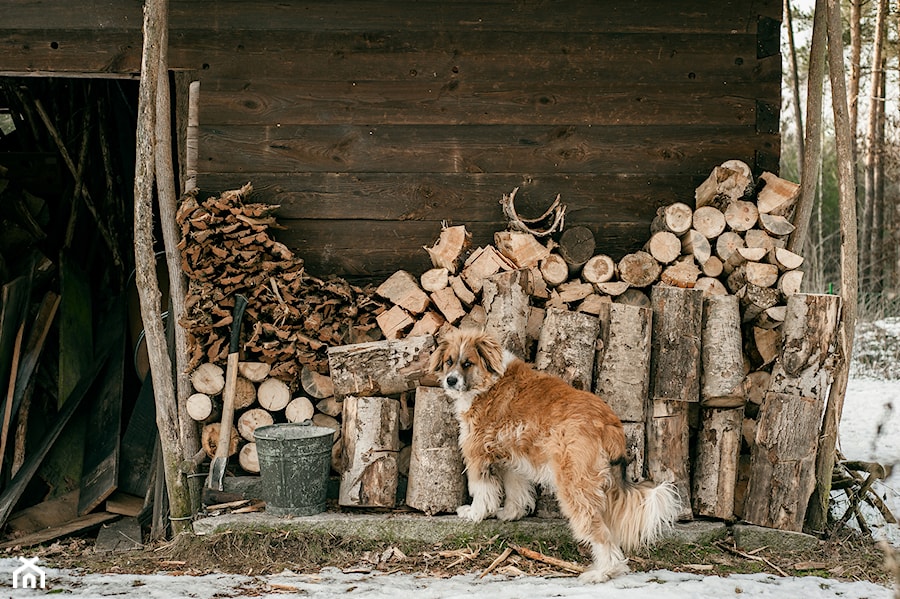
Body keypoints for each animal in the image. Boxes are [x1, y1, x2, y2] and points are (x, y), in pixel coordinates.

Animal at [432, 326, 680, 584]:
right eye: (449, 361)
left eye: (468, 363)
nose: (450, 380)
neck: (489, 382)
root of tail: (607, 422)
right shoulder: (512, 456)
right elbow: (516, 490)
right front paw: (511, 514)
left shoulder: (477, 453)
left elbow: (482, 492)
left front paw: (474, 514)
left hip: (575, 486)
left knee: (599, 532)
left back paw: (602, 572)